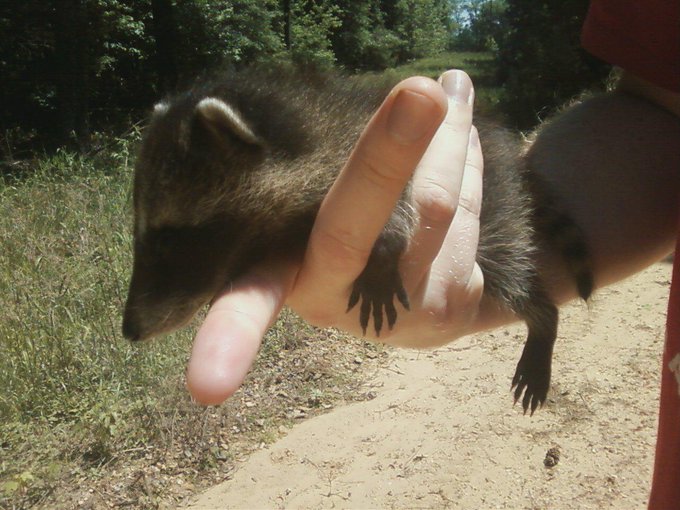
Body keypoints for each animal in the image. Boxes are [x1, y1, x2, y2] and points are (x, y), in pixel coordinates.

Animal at [122, 67, 593, 414]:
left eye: (167, 238)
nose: (129, 329)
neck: (311, 127)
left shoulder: (373, 150)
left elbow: (402, 205)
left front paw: (384, 251)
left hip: (499, 209)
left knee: (510, 266)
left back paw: (543, 317)